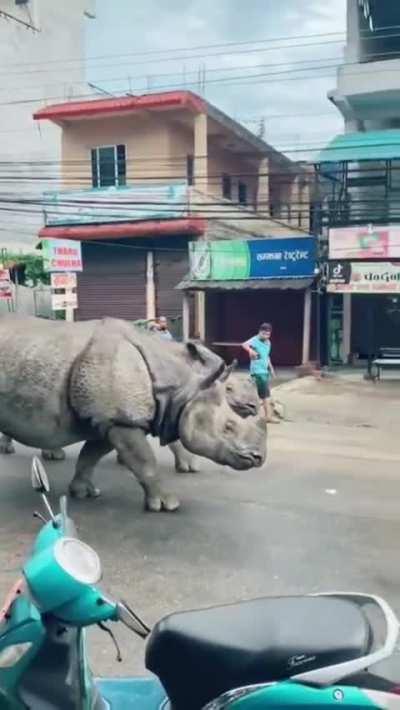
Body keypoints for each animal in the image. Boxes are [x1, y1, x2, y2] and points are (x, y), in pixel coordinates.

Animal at [0, 316, 266, 511]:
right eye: (228, 427)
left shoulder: (111, 419)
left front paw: (83, 492)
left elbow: (90, 456)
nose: (259, 458)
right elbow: (145, 462)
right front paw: (167, 504)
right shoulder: (122, 421)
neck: (182, 385)